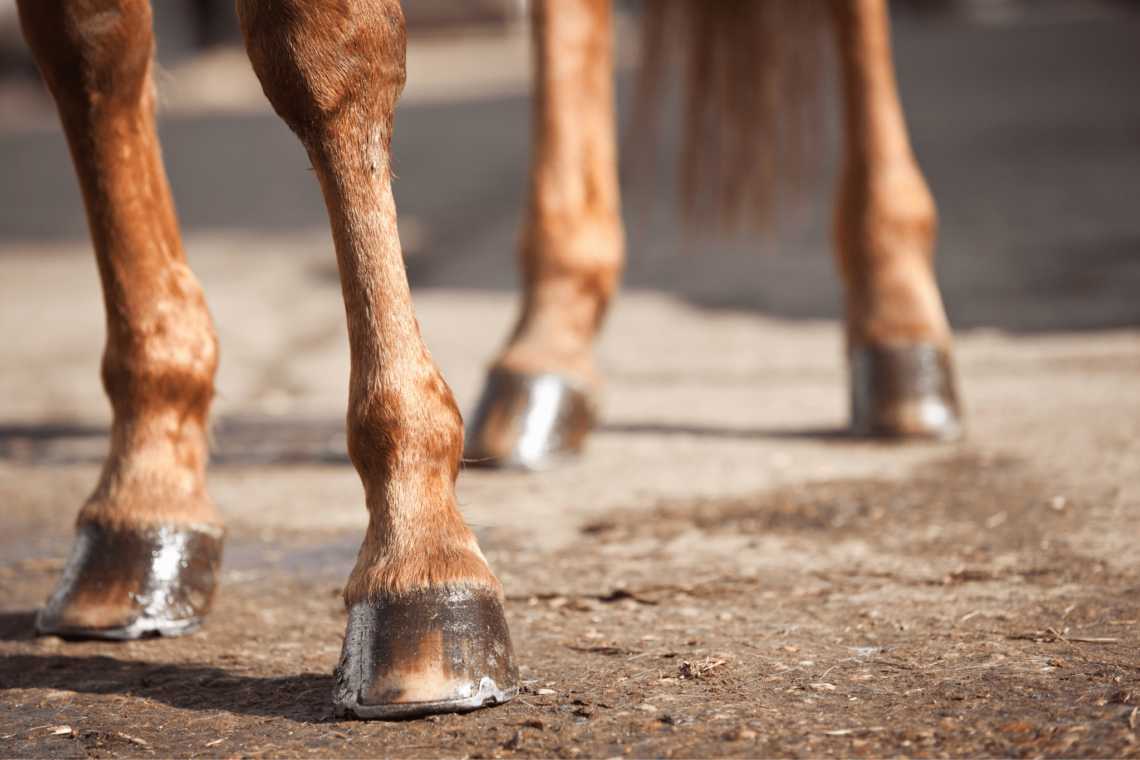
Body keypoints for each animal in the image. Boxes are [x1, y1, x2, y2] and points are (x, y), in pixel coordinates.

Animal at [14, 0, 959, 720]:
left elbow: (317, 45)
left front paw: (418, 554)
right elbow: (86, 44)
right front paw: (146, 492)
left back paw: (901, 330)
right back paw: (549, 347)